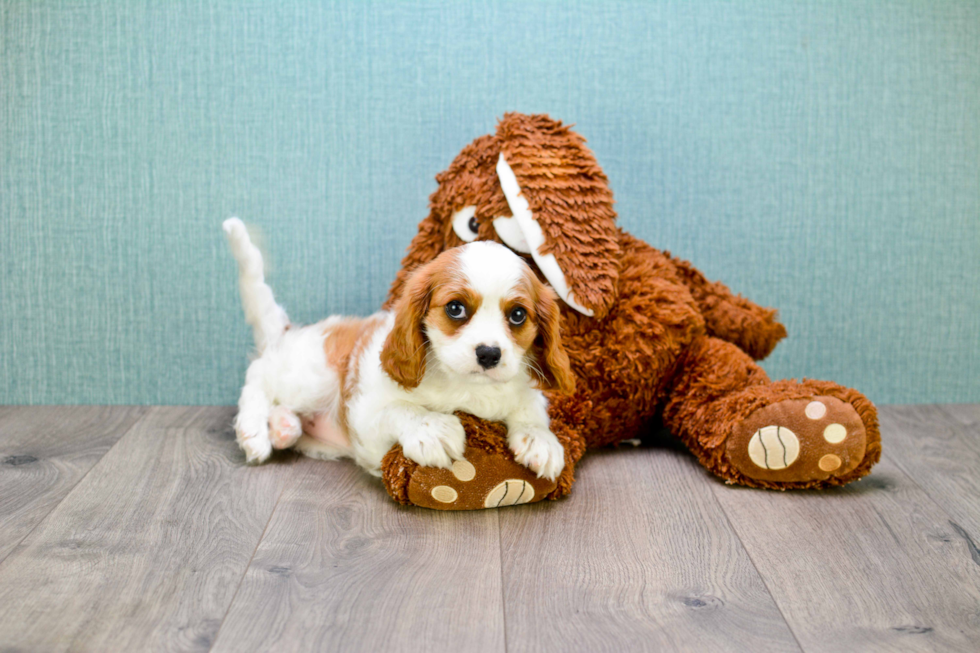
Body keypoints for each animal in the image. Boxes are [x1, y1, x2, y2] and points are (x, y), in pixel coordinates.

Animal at [222, 219, 576, 478]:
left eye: (517, 315)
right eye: (456, 308)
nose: (489, 354)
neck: (466, 389)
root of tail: (287, 332)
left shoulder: (523, 391)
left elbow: (530, 410)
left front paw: (540, 438)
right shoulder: (364, 413)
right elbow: (399, 410)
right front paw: (431, 428)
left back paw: (284, 427)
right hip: (307, 378)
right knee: (258, 378)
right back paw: (254, 431)